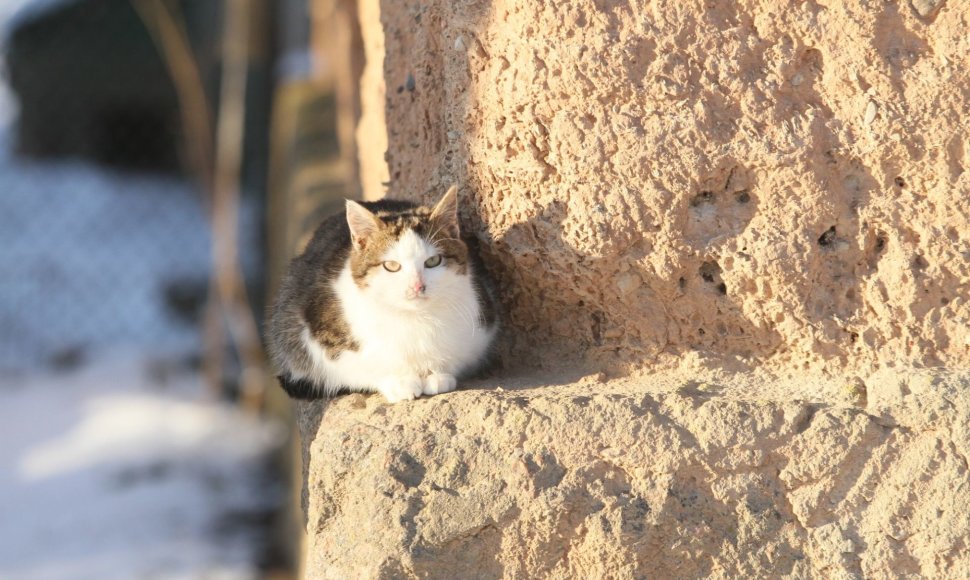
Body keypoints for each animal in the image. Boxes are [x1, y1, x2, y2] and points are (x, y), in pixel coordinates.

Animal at [268, 187, 500, 404]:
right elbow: (361, 364)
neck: (413, 318)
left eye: (433, 261)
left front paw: (437, 374)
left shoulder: (482, 324)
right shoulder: (319, 337)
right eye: (391, 266)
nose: (417, 286)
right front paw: (399, 381)